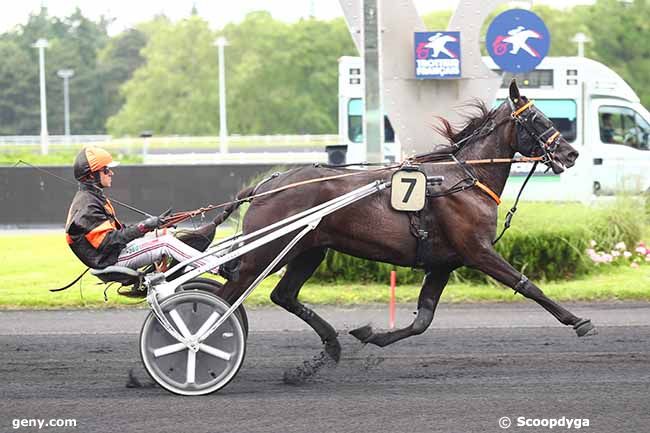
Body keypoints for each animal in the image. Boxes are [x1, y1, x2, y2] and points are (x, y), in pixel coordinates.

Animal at [215, 80, 588, 362]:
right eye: (538, 119)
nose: (571, 153)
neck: (465, 178)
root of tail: (265, 185)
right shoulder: (477, 251)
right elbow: (527, 285)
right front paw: (578, 320)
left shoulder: (443, 263)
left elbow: (423, 319)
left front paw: (369, 334)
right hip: (264, 254)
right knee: (227, 298)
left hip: (309, 250)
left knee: (284, 295)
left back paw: (332, 344)